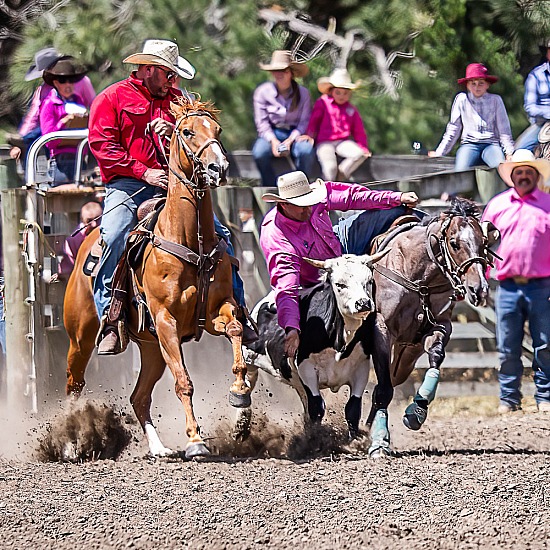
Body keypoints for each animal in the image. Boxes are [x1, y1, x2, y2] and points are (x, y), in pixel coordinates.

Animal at [61, 98, 249, 458]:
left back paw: (159, 448)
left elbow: (234, 330)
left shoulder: (215, 311)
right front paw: (195, 440)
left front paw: (239, 391)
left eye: (217, 130)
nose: (218, 168)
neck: (188, 238)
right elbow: (184, 382)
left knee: (139, 397)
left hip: (150, 348)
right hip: (81, 338)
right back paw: (67, 445)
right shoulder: (165, 321)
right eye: (187, 131)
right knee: (74, 384)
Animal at [366, 198, 500, 458]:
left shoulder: (439, 327)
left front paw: (416, 411)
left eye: (483, 242)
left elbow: (436, 358)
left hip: (407, 354)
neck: (418, 278)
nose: (479, 290)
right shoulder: (382, 330)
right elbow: (384, 387)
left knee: (393, 378)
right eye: (454, 243)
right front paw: (379, 442)